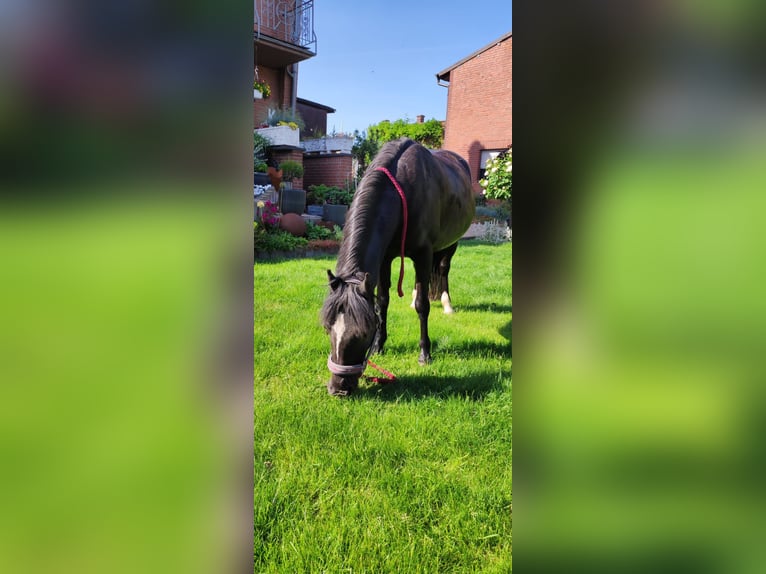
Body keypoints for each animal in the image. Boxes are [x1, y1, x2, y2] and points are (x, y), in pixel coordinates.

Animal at [320, 138, 475, 396]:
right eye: (327, 327)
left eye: (363, 332)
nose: (338, 389)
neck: (404, 190)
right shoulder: (386, 257)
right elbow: (382, 302)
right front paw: (379, 346)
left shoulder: (423, 254)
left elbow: (423, 306)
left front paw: (424, 353)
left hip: (451, 243)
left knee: (443, 269)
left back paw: (447, 304)